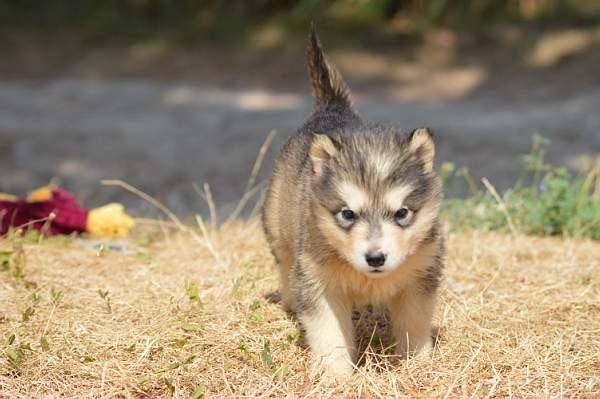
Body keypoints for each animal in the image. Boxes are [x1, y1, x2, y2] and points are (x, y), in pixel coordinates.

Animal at [264, 28, 446, 378]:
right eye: (347, 214)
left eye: (402, 213)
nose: (375, 258)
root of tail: (332, 108)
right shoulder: (318, 283)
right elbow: (329, 333)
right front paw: (336, 375)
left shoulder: (420, 276)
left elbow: (414, 325)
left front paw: (417, 364)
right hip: (278, 230)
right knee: (284, 265)